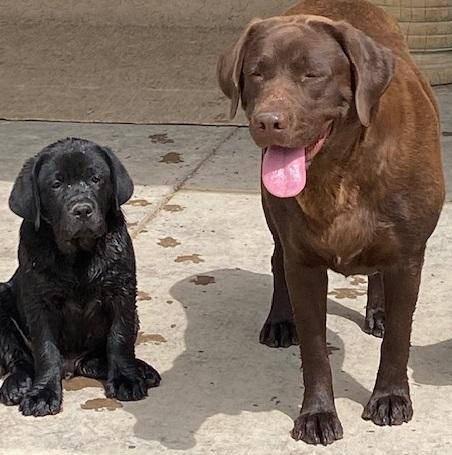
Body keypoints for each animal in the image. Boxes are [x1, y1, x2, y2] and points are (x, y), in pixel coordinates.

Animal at [0, 138, 161, 417]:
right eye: (56, 184)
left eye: (96, 179)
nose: (83, 210)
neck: (78, 254)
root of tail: (72, 365)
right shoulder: (39, 302)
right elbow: (46, 350)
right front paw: (43, 393)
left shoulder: (122, 292)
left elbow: (119, 338)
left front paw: (126, 379)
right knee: (20, 358)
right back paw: (17, 384)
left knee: (98, 356)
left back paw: (140, 369)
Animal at [218, 0, 445, 445]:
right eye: (256, 73)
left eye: (312, 75)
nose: (268, 121)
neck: (339, 170)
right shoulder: (304, 263)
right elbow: (315, 348)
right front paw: (318, 413)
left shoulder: (409, 256)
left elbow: (399, 337)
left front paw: (390, 397)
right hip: (274, 216)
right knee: (277, 260)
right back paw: (280, 321)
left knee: (379, 273)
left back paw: (378, 311)